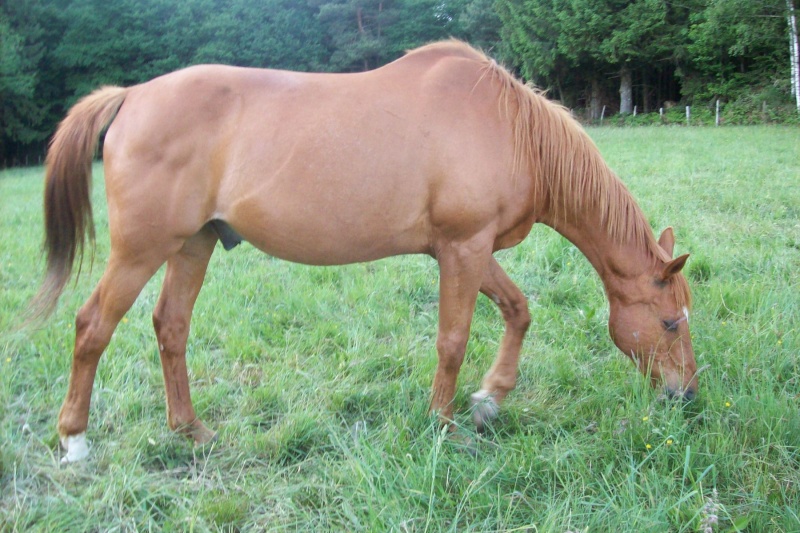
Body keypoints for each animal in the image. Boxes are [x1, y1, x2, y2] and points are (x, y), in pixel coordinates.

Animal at [34, 40, 696, 462]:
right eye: (669, 322)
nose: (685, 395)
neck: (509, 127)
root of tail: (132, 96)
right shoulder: (463, 248)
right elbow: (452, 339)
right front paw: (445, 424)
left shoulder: (468, 249)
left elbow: (518, 310)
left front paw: (488, 400)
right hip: (140, 250)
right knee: (92, 326)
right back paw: (75, 442)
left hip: (193, 245)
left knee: (170, 327)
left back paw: (192, 432)